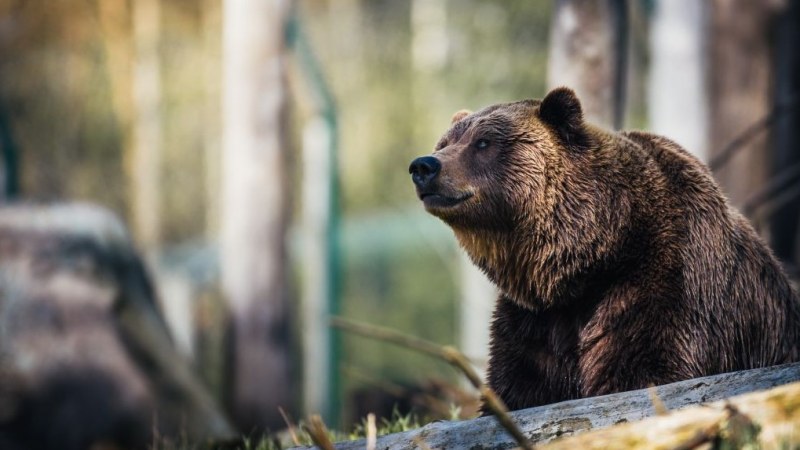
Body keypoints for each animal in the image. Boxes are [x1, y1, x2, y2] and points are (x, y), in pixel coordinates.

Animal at [410, 87, 800, 412]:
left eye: (484, 142)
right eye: (445, 141)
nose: (424, 165)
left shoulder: (663, 282)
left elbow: (644, 370)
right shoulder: (535, 321)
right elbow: (518, 386)